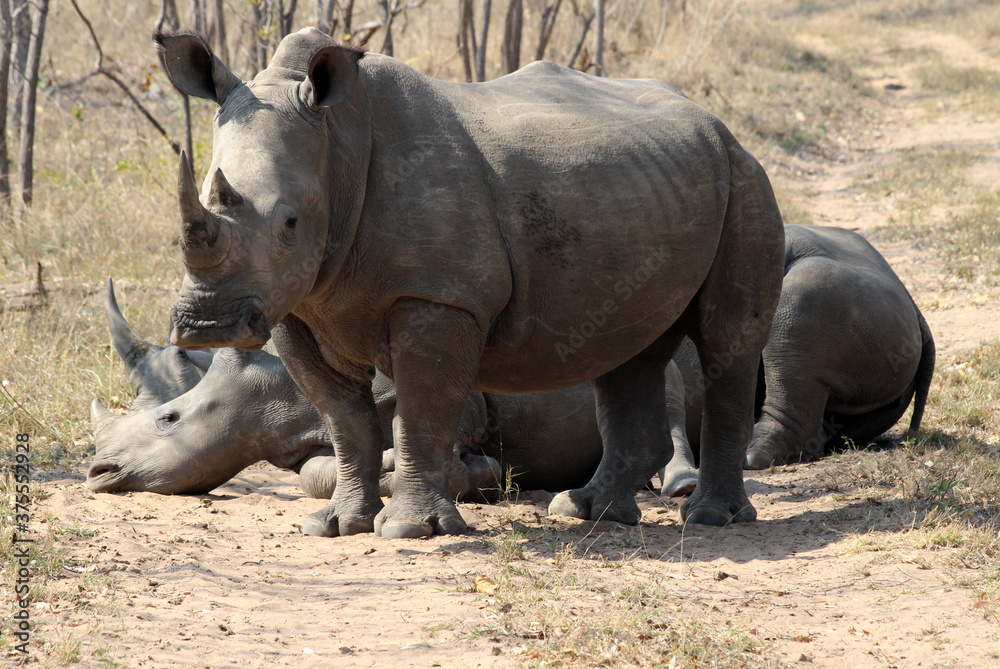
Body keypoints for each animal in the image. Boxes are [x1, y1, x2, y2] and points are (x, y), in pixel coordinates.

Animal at [89, 279, 701, 499]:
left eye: (169, 420)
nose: (97, 472)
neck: (275, 393)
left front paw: (472, 474)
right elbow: (318, 473)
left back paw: (675, 487)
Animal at [155, 28, 784, 537]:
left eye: (289, 223)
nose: (207, 324)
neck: (338, 147)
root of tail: (719, 124)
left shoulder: (440, 297)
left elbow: (420, 411)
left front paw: (410, 531)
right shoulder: (297, 304)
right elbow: (343, 419)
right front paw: (335, 525)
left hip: (745, 177)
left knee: (725, 341)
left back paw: (710, 518)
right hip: (649, 186)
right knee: (627, 351)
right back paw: (588, 511)